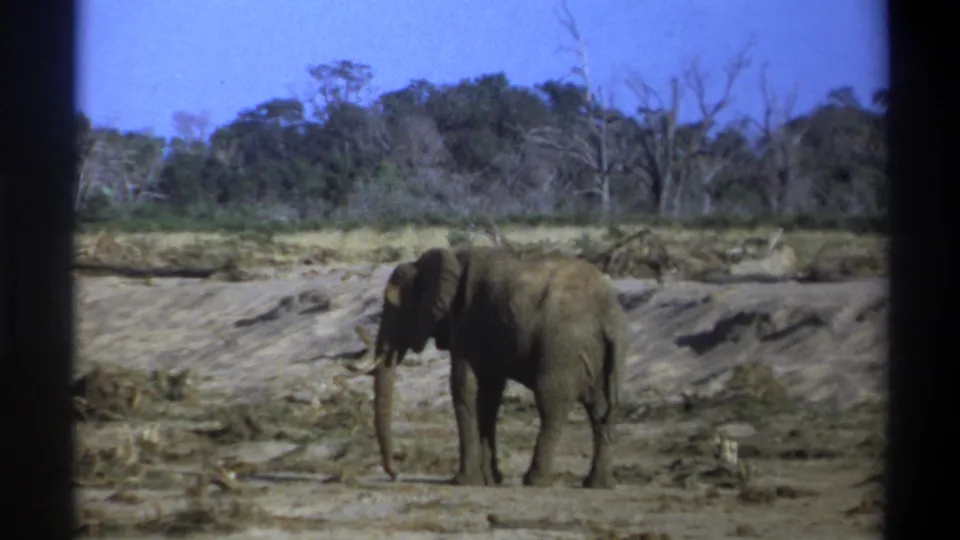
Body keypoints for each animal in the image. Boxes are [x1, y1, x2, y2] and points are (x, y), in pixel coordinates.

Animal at [344, 246, 627, 489]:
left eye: (395, 307)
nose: (395, 475)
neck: (449, 258)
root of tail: (609, 313)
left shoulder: (469, 324)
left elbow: (464, 386)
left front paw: (464, 481)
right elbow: (489, 395)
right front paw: (491, 479)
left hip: (562, 346)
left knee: (551, 404)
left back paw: (535, 481)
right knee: (600, 409)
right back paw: (598, 484)